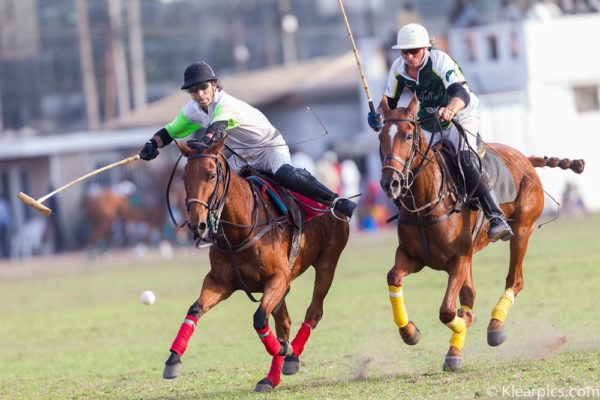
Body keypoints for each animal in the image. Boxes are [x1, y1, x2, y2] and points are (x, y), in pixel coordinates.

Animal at [163, 130, 352, 390]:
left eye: (212, 175)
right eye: (184, 177)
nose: (197, 224)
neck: (240, 230)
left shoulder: (279, 278)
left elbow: (260, 318)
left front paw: (283, 349)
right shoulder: (220, 282)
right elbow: (195, 309)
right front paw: (173, 360)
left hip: (327, 262)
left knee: (313, 312)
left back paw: (290, 356)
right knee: (284, 322)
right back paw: (274, 375)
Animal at [378, 97, 584, 372]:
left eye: (409, 135)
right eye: (380, 137)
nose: (390, 183)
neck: (427, 204)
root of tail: (525, 158)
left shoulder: (458, 258)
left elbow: (447, 310)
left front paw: (466, 321)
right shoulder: (413, 256)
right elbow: (394, 277)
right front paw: (410, 331)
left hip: (521, 230)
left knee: (514, 281)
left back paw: (495, 327)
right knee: (470, 293)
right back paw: (456, 349)